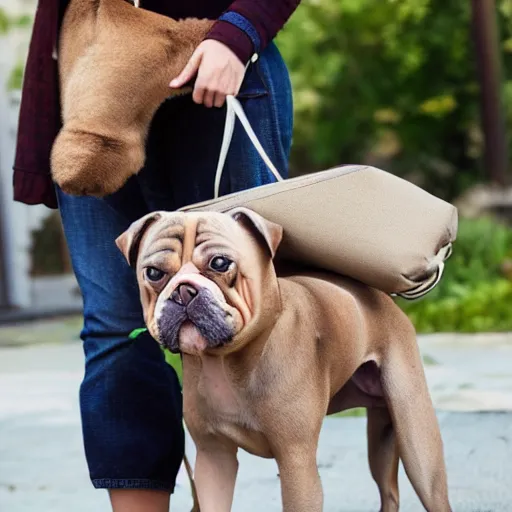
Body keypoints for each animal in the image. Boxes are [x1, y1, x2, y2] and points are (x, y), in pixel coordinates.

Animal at [116, 208, 452, 512]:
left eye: (220, 263)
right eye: (153, 273)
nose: (184, 291)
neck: (225, 361)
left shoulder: (296, 462)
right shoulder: (214, 459)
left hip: (417, 444)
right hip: (381, 437)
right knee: (389, 492)